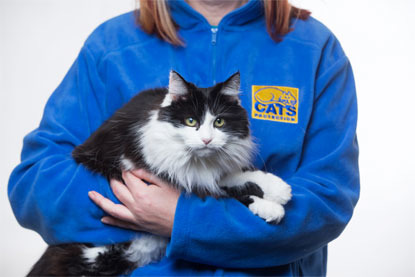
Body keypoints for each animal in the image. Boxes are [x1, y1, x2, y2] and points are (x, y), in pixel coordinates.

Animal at [28, 71, 292, 276]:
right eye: (190, 121)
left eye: (219, 122)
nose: (206, 140)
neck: (197, 161)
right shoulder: (166, 175)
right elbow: (224, 196)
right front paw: (270, 207)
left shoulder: (207, 174)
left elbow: (237, 176)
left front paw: (278, 189)